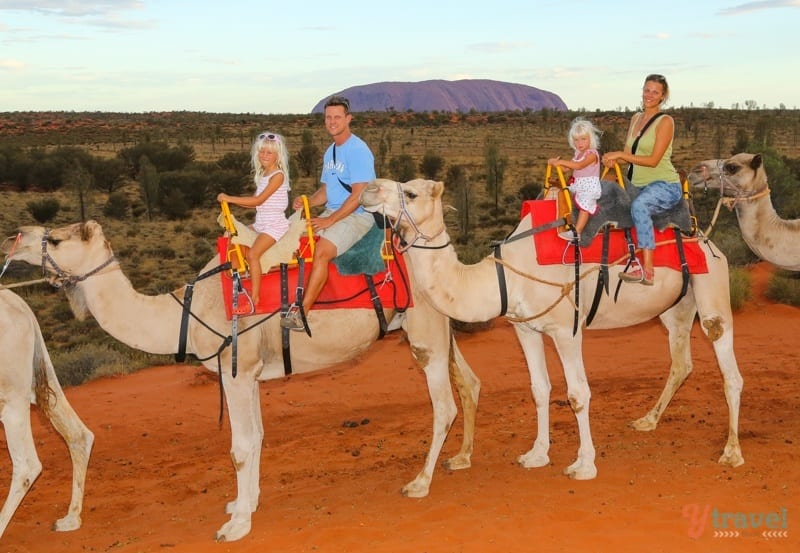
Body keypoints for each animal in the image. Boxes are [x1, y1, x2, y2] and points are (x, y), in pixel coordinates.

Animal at [360, 178, 744, 478]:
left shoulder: (565, 329)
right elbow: (539, 389)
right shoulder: (526, 328)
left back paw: (731, 451)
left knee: (729, 369)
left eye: (411, 193)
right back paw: (647, 421)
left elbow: (577, 393)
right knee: (682, 362)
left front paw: (584, 464)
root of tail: (707, 239)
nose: (367, 189)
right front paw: (537, 454)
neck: (504, 276)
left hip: (712, 289)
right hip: (676, 306)